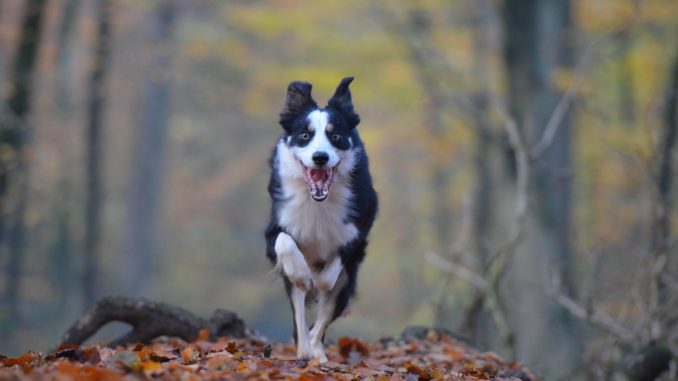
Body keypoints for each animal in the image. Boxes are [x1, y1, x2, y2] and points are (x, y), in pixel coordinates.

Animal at [266, 76, 380, 360]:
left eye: (335, 135)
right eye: (305, 135)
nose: (320, 157)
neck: (318, 201)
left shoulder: (357, 229)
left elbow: (329, 278)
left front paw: (317, 278)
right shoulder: (277, 224)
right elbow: (284, 242)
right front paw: (303, 274)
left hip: (349, 280)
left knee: (324, 317)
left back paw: (316, 352)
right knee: (300, 316)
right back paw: (305, 351)